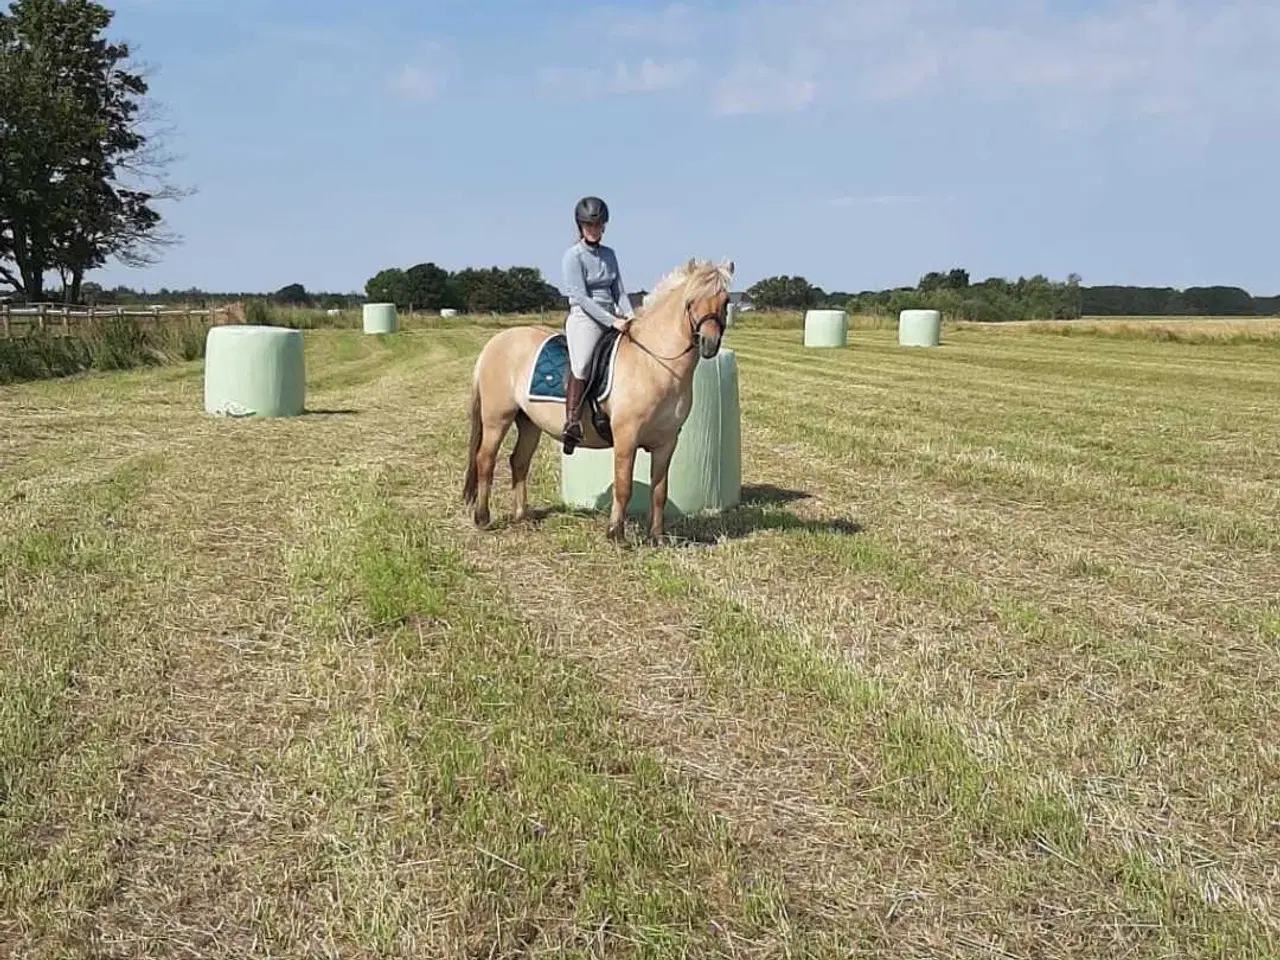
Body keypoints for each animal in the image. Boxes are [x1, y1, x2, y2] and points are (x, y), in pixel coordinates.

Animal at [462, 257, 734, 544]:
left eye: (725, 300)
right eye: (690, 300)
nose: (709, 343)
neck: (653, 362)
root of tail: (495, 342)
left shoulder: (667, 441)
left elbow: (660, 491)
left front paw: (657, 537)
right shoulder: (626, 436)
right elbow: (623, 486)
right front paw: (616, 534)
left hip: (529, 423)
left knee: (519, 462)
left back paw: (522, 516)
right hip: (497, 418)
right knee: (485, 460)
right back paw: (482, 518)